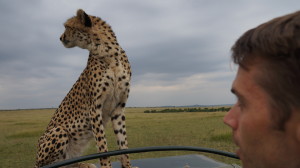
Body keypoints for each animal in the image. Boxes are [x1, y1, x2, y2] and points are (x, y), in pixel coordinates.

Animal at [34, 9, 134, 168]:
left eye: (68, 27)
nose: (60, 38)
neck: (108, 53)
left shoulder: (118, 107)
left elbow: (123, 144)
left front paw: (128, 166)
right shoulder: (94, 108)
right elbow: (102, 146)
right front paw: (106, 166)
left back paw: (83, 164)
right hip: (59, 130)